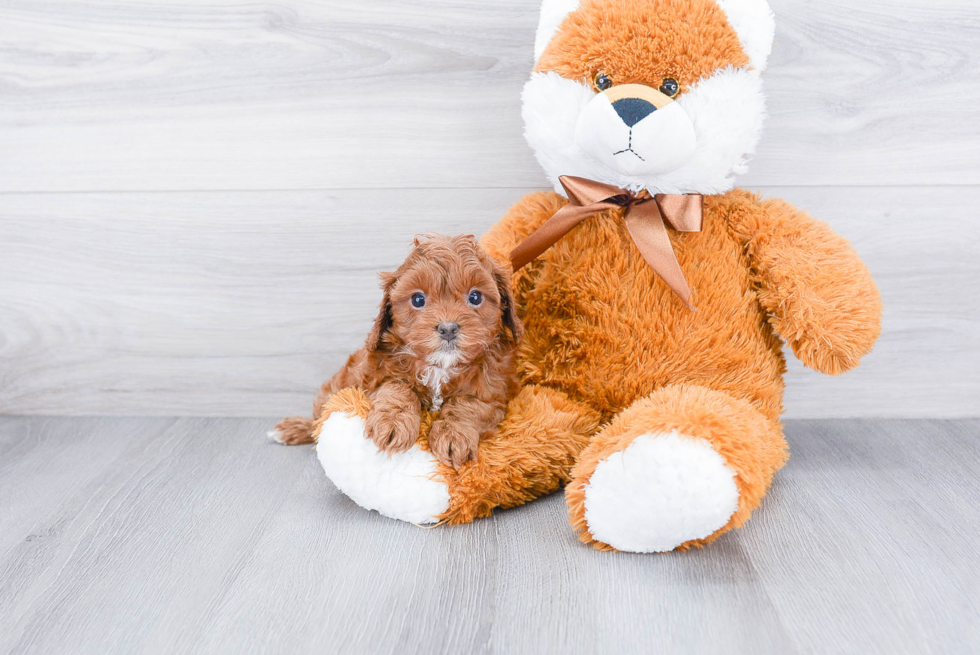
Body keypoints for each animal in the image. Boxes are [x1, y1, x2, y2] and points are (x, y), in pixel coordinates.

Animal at [270, 236, 520, 472]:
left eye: (475, 297)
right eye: (418, 299)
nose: (448, 328)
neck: (440, 368)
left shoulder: (494, 396)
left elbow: (469, 403)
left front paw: (453, 435)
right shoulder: (369, 377)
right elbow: (397, 386)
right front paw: (392, 423)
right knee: (319, 419)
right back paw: (294, 428)